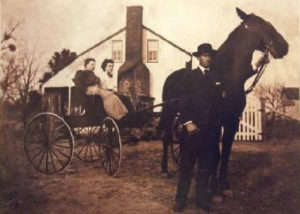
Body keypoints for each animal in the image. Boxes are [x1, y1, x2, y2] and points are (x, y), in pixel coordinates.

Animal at [158, 6, 290, 194]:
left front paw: (223, 184)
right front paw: (213, 187)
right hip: (169, 112)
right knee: (167, 137)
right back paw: (164, 170)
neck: (228, 76)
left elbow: (226, 151)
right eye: (262, 24)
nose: (283, 46)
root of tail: (172, 76)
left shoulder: (232, 120)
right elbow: (216, 153)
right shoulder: (215, 121)